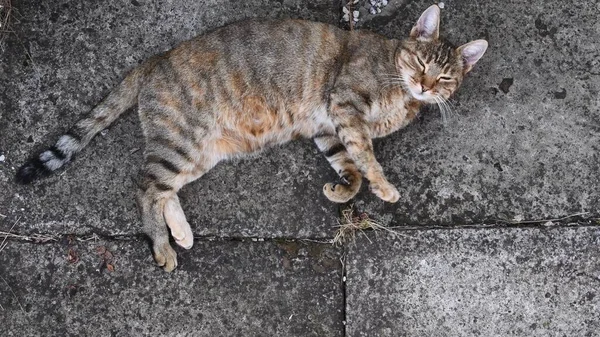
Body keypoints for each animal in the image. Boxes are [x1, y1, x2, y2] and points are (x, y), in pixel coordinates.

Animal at [16, 5, 488, 270]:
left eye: (445, 76)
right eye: (421, 62)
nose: (425, 85)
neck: (401, 95)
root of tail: (156, 59)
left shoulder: (328, 127)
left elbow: (349, 164)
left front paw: (341, 188)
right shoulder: (346, 104)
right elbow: (366, 156)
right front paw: (384, 187)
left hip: (201, 152)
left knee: (164, 188)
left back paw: (181, 233)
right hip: (183, 141)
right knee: (145, 187)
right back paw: (162, 246)